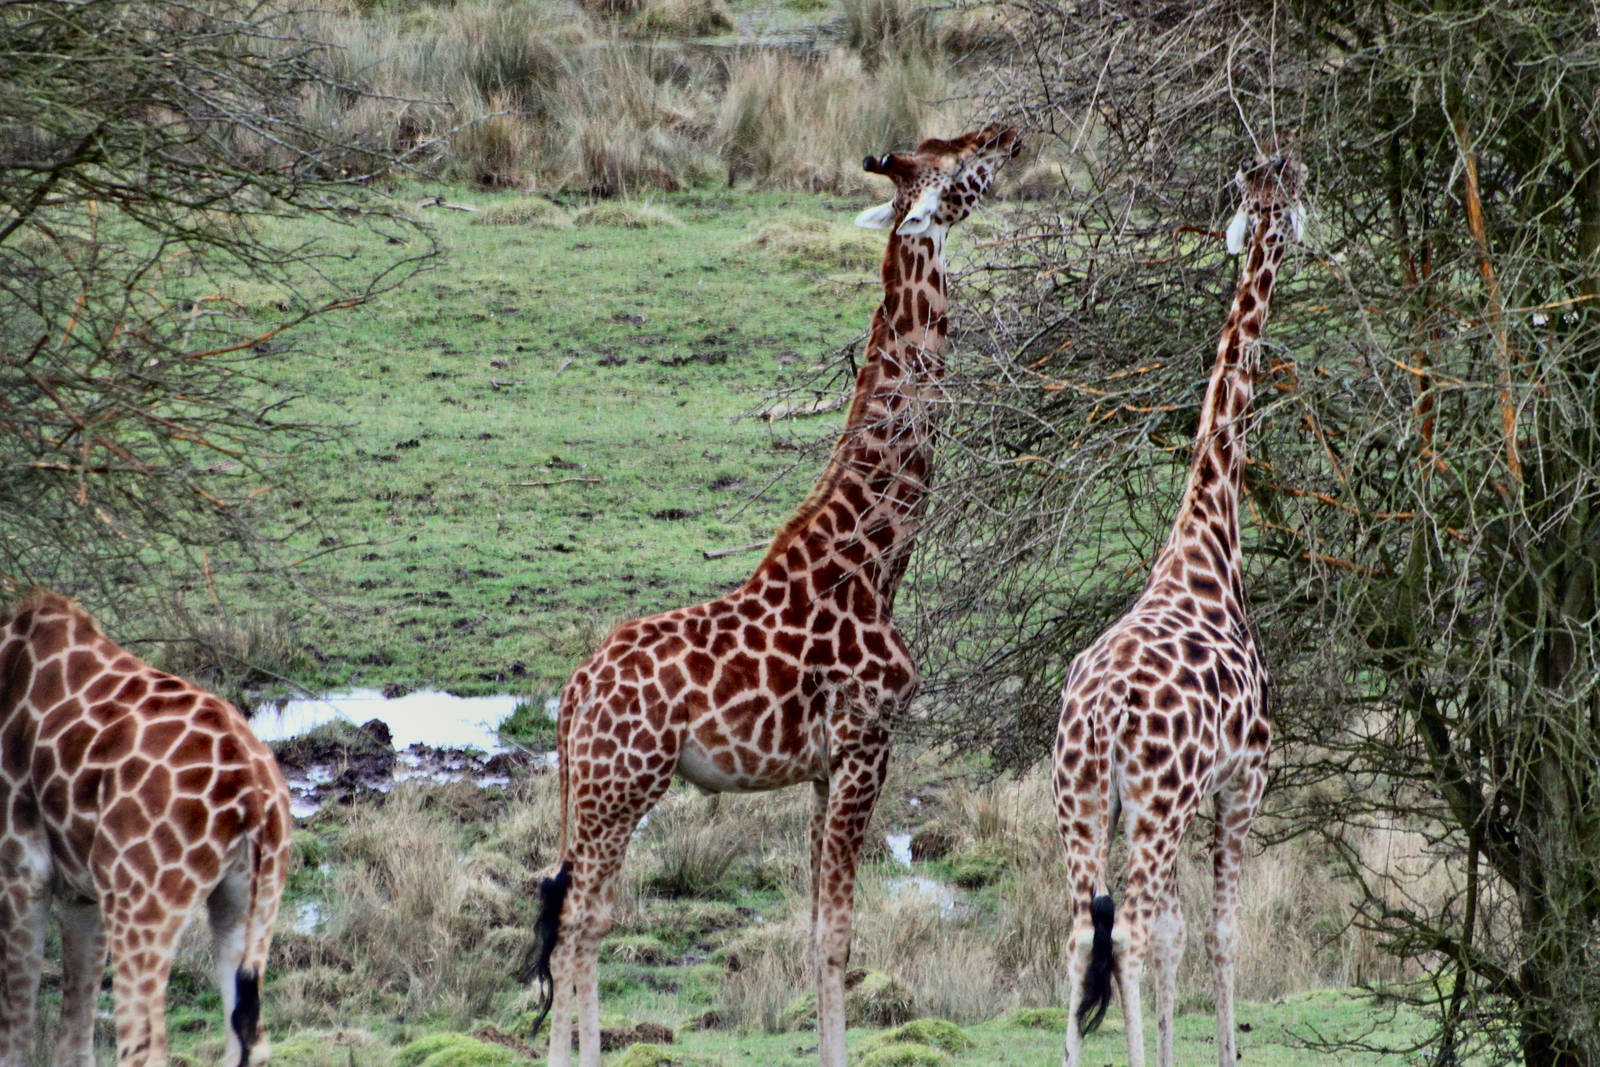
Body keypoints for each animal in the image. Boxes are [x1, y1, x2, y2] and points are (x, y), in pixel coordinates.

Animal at [0, 591, 291, 1067]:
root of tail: (252, 793)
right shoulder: (82, 894)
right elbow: (75, 1039)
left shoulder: (21, 873)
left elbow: (16, 1035)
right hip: (250, 904)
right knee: (248, 1037)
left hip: (140, 907)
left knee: (144, 1046)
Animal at [522, 125, 1020, 1067]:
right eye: (956, 159)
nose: (1010, 135)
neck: (875, 560)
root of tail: (571, 695)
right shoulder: (867, 742)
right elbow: (839, 935)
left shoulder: (825, 768)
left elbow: (820, 926)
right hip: (621, 784)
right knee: (576, 924)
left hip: (594, 788)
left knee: (581, 917)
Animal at [1052, 152, 1304, 1067]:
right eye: (1287, 196)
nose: (1291, 223)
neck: (1206, 538)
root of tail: (1098, 714)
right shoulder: (1243, 778)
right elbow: (1219, 931)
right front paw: (1221, 1051)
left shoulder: (1182, 796)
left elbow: (1176, 932)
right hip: (1155, 803)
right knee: (1125, 930)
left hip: (1080, 799)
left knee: (1080, 933)